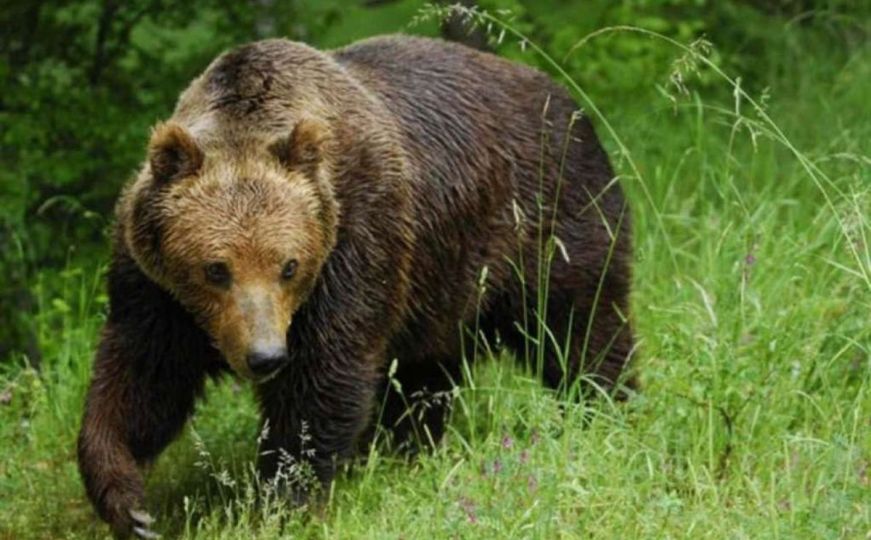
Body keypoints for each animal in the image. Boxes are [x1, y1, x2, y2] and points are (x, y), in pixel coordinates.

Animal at [76, 34, 632, 536]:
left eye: (289, 266)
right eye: (216, 268)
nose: (265, 356)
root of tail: (562, 93)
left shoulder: (354, 243)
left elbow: (323, 377)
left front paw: (282, 499)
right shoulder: (158, 291)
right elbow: (143, 379)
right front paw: (130, 503)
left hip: (546, 219)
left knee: (579, 324)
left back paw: (602, 406)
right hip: (439, 283)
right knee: (426, 373)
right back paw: (412, 447)